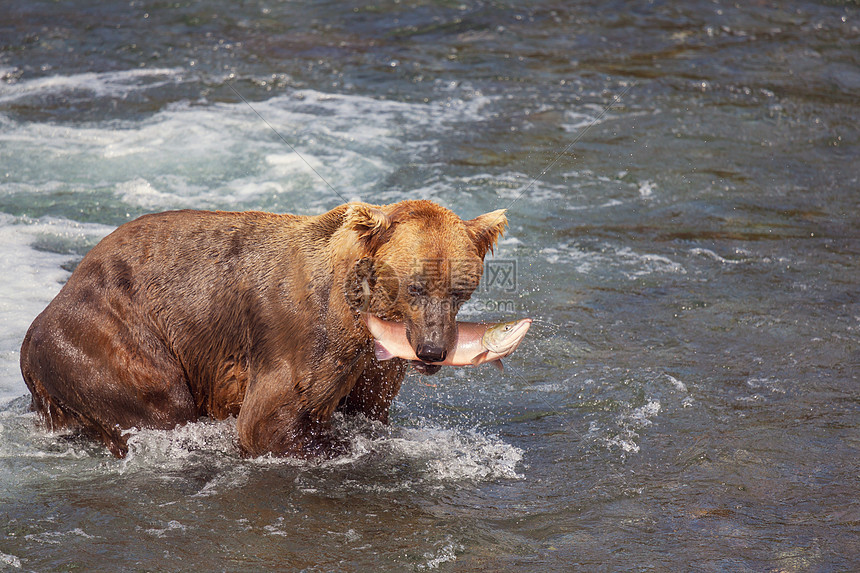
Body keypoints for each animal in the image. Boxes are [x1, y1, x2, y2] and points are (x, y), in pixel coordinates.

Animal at [18, 199, 504, 458]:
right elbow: (267, 422)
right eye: (415, 285)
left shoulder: (374, 363)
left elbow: (371, 409)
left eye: (460, 289)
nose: (432, 351)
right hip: (108, 335)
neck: (366, 319)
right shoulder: (302, 338)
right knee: (160, 405)